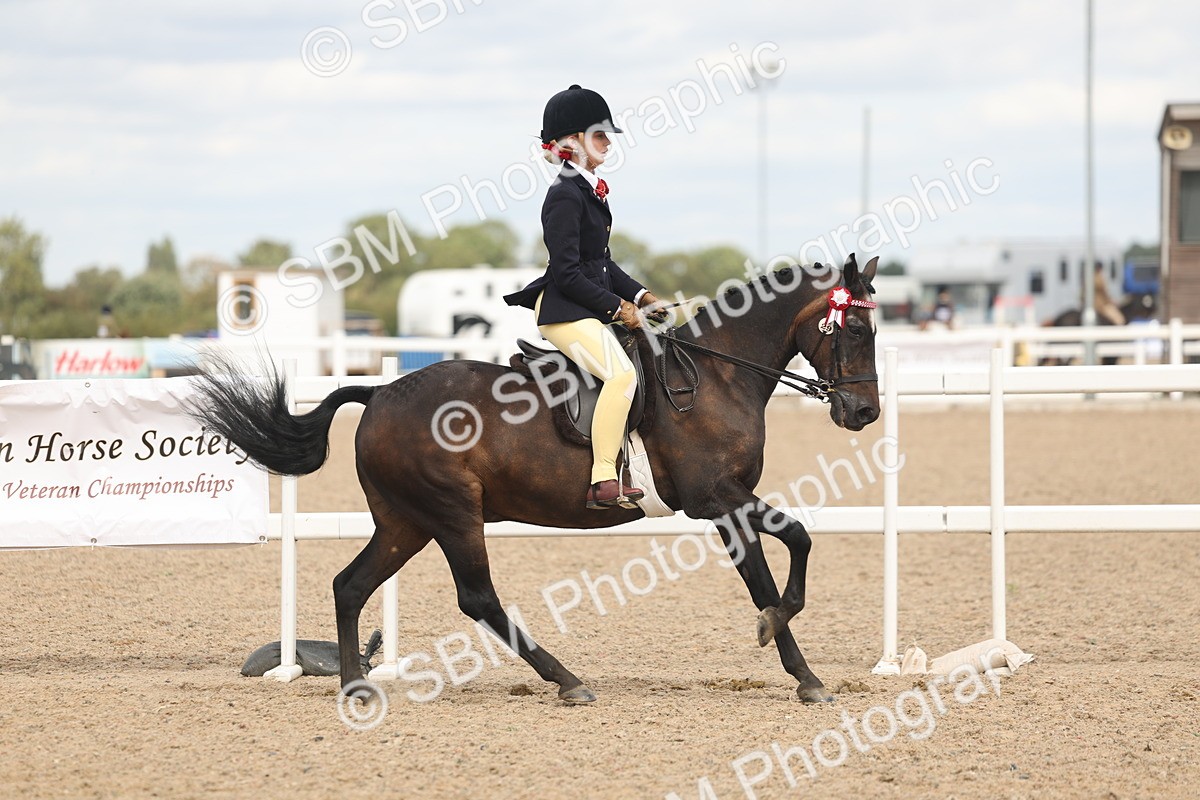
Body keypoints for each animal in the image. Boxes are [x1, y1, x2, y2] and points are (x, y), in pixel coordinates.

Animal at [186, 254, 881, 705]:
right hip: (453, 514)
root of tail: (379, 393)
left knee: (350, 585)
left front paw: (799, 667)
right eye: (853, 327)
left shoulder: (726, 505)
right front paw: (788, 651)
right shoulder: (716, 498)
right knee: (477, 598)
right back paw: (567, 681)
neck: (717, 378)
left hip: (406, 521)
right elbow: (790, 549)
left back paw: (357, 685)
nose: (864, 413)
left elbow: (776, 561)